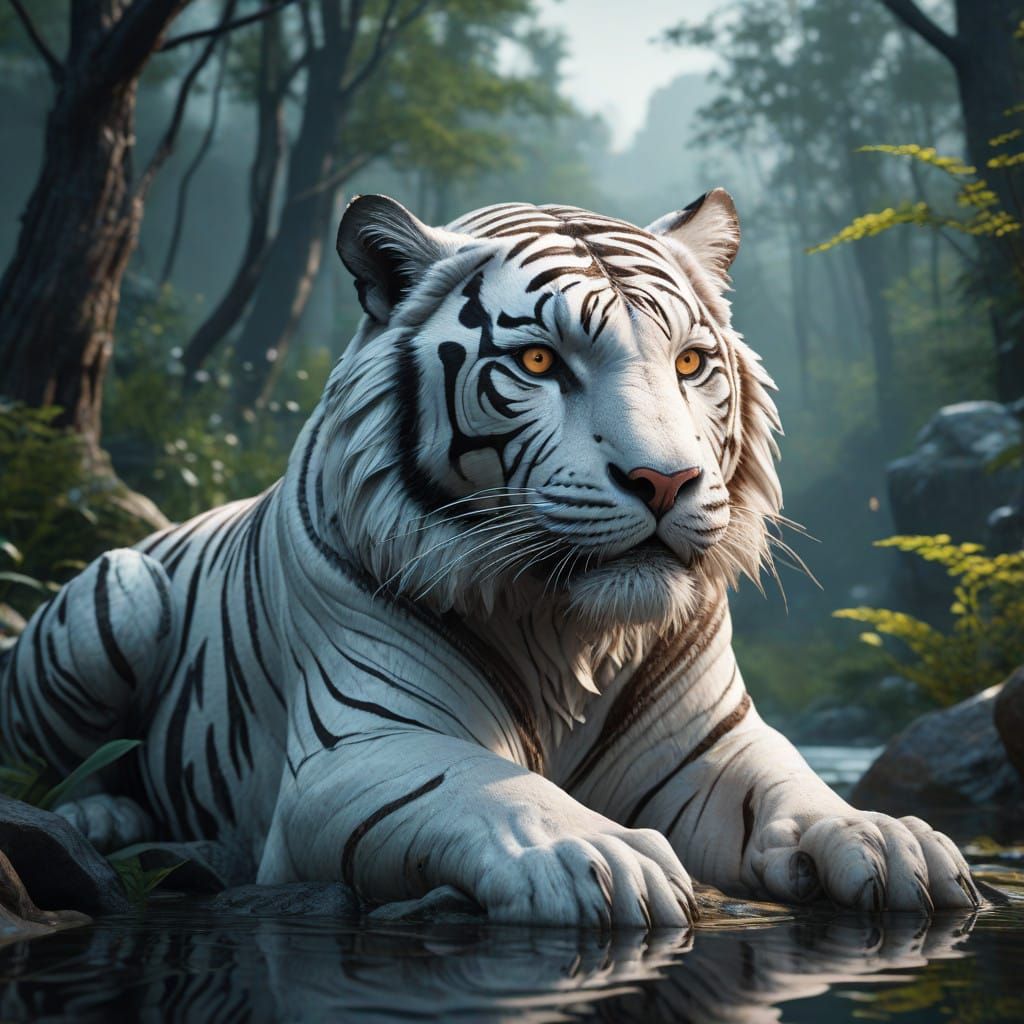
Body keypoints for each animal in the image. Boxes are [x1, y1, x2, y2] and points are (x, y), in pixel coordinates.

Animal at [0, 190, 979, 926]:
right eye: (540, 362)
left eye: (691, 362)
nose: (665, 480)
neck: (572, 632)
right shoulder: (361, 746)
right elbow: (486, 782)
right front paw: (596, 853)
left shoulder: (713, 744)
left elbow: (797, 790)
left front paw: (891, 842)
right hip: (118, 599)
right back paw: (96, 812)